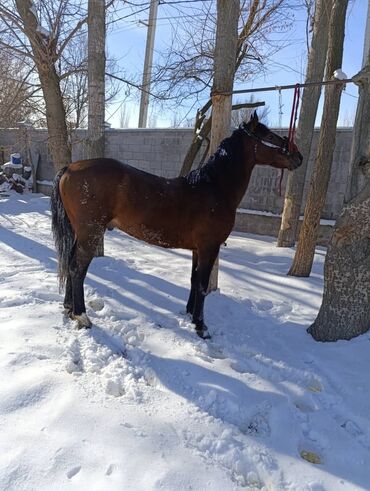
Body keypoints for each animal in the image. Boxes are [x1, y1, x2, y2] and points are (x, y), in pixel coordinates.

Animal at [50, 113, 302, 340]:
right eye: (268, 135)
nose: (298, 156)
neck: (214, 188)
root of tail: (70, 168)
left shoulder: (197, 249)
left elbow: (193, 280)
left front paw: (190, 315)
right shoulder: (210, 247)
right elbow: (202, 284)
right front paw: (201, 327)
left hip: (80, 232)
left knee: (69, 264)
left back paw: (69, 308)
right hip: (90, 232)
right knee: (77, 268)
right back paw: (82, 316)